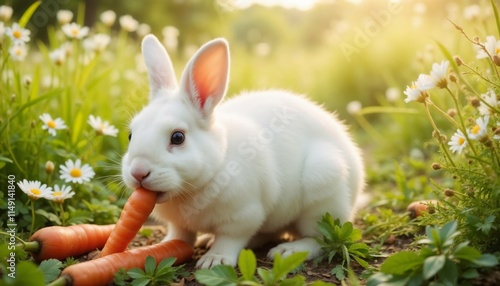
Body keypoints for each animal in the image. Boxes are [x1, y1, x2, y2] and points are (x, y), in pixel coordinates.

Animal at [121, 34, 364, 270]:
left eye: (178, 137)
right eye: (131, 135)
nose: (138, 172)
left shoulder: (243, 216)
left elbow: (230, 239)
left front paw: (214, 260)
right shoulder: (179, 225)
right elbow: (180, 236)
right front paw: (165, 247)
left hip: (324, 187)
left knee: (320, 239)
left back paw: (288, 250)